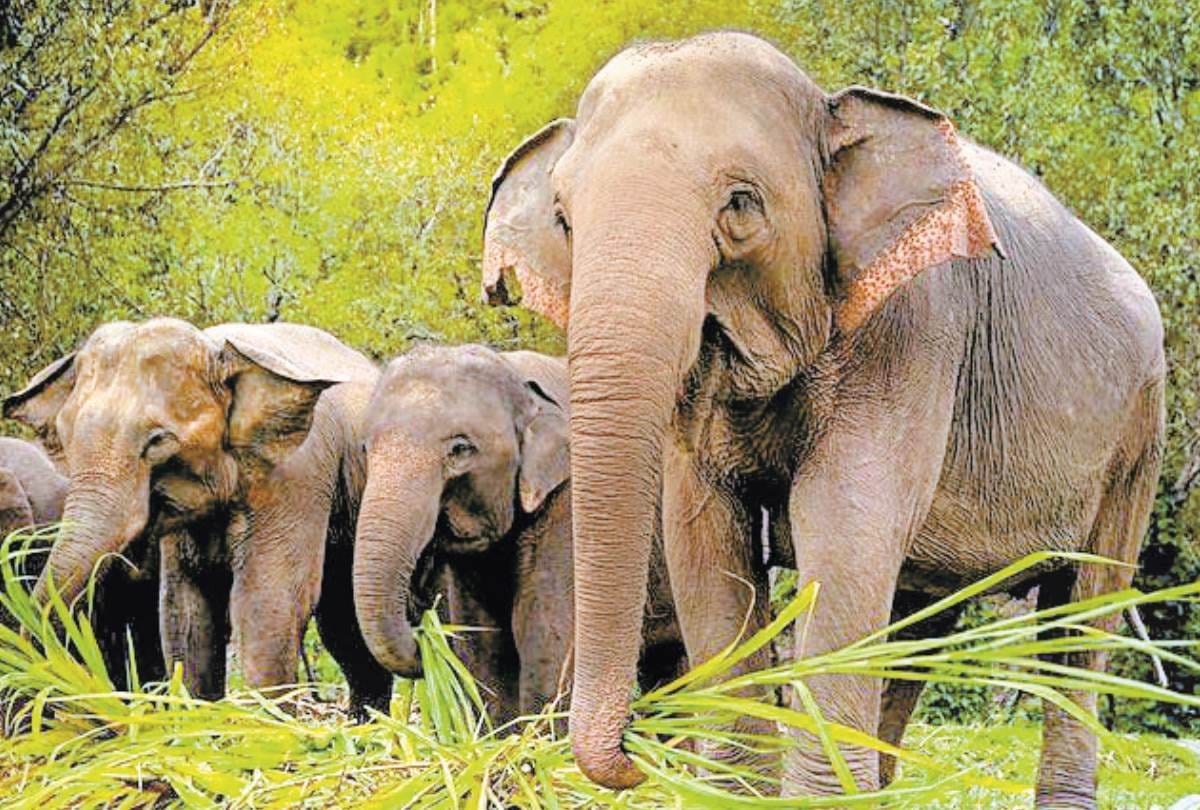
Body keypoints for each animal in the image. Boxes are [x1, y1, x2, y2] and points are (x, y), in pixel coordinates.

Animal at [2, 318, 392, 715]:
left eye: (157, 441)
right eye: (65, 437)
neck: (216, 348)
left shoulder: (296, 473)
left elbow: (267, 602)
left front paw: (263, 724)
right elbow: (184, 611)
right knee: (347, 633)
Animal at [352, 343, 686, 728]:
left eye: (461, 449)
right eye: (365, 449)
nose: (425, 635)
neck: (514, 370)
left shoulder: (572, 503)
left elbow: (544, 632)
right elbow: (482, 640)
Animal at [482, 32, 1165, 807]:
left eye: (741, 203)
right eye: (564, 221)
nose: (633, 755)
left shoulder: (913, 327)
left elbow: (843, 527)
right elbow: (704, 541)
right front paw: (737, 790)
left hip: (1137, 437)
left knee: (1081, 618)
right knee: (915, 622)